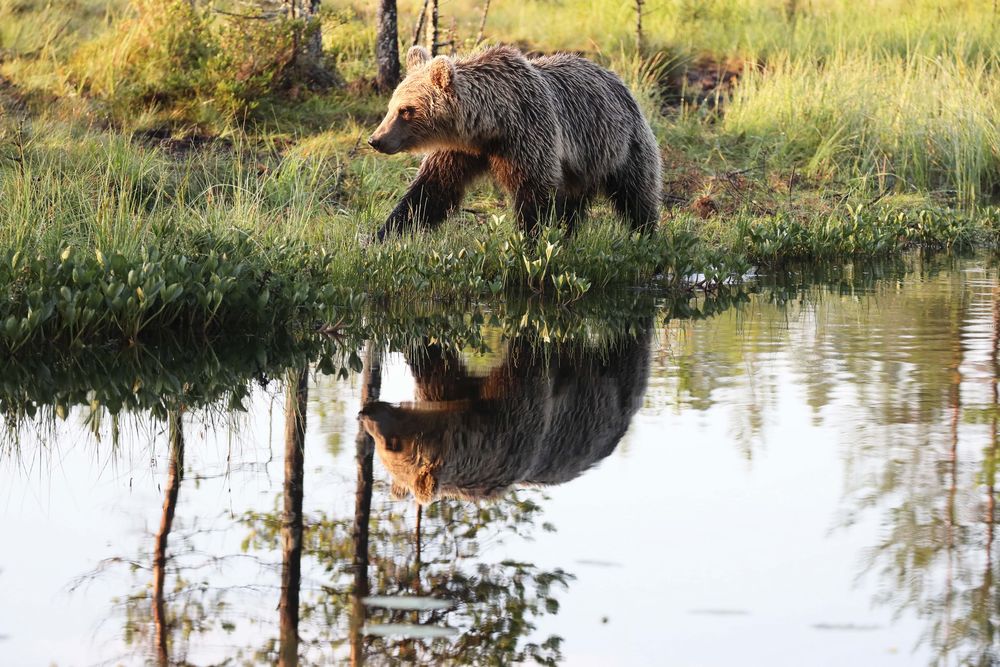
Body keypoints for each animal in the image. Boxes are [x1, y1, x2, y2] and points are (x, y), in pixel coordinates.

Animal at [356, 326, 652, 504]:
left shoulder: (520, 419)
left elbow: (529, 363)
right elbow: (439, 371)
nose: (365, 413)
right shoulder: (455, 394)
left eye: (391, 445)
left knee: (628, 354)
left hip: (613, 392)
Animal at [368, 44, 664, 239]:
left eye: (406, 110)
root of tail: (617, 79)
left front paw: (530, 239)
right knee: (573, 203)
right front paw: (384, 234)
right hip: (581, 165)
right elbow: (432, 192)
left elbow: (534, 193)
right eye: (391, 106)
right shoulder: (459, 151)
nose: (376, 140)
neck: (489, 127)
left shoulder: (528, 136)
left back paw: (645, 235)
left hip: (622, 145)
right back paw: (569, 234)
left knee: (636, 193)